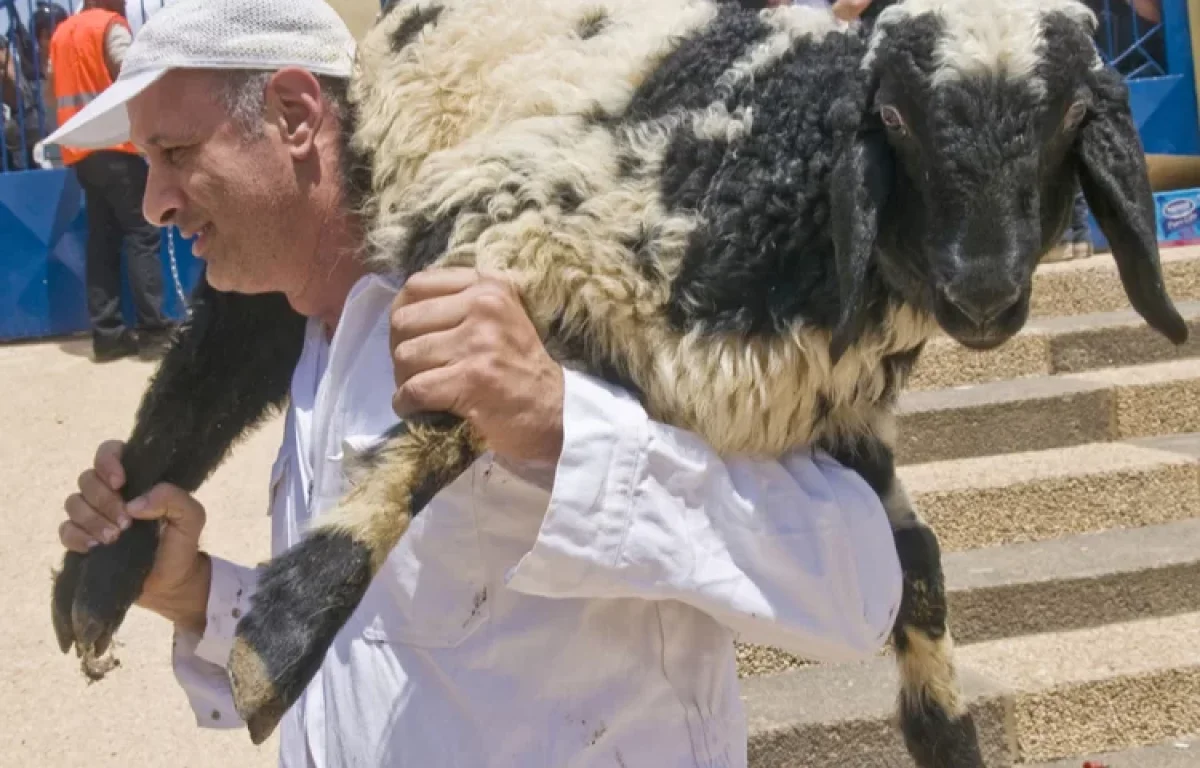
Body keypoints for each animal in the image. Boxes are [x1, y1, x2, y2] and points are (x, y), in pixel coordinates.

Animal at [51, 1, 1185, 768]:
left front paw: (947, 730)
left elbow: (910, 564)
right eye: (899, 121)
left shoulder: (823, 415)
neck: (775, 166)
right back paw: (96, 582)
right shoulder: (512, 219)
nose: (984, 290)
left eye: (1071, 117)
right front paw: (280, 637)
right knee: (212, 359)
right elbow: (443, 432)